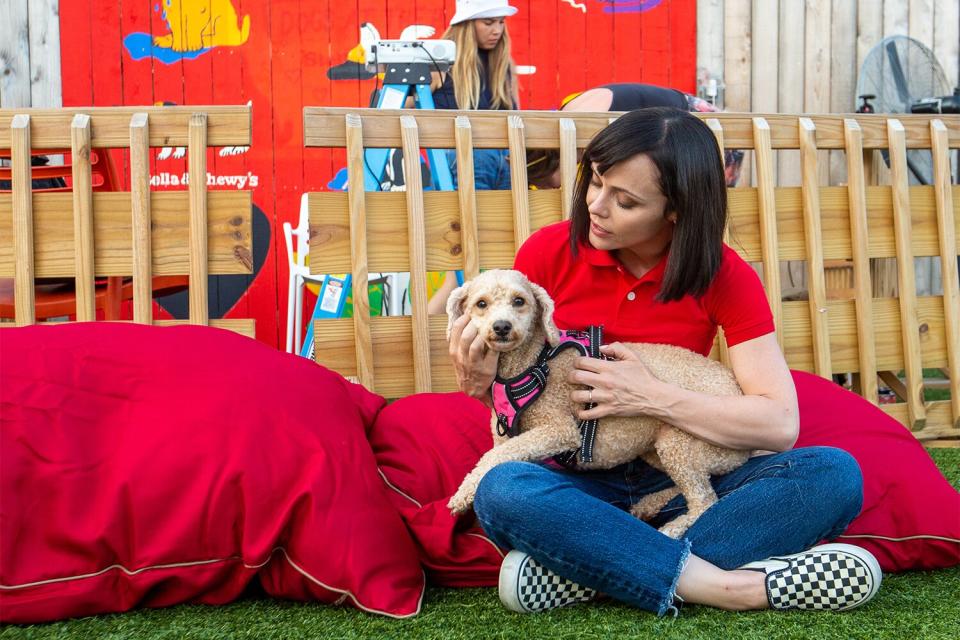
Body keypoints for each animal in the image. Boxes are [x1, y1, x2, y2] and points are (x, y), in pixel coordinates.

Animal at [446, 268, 752, 536]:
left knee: (705, 500)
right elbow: (492, 456)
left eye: (519, 301)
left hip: (681, 442)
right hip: (660, 449)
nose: (501, 326)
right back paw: (648, 504)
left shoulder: (559, 430)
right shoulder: (505, 434)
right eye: (481, 304)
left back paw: (672, 528)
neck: (534, 362)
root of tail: (737, 388)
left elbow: (492, 458)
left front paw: (462, 494)